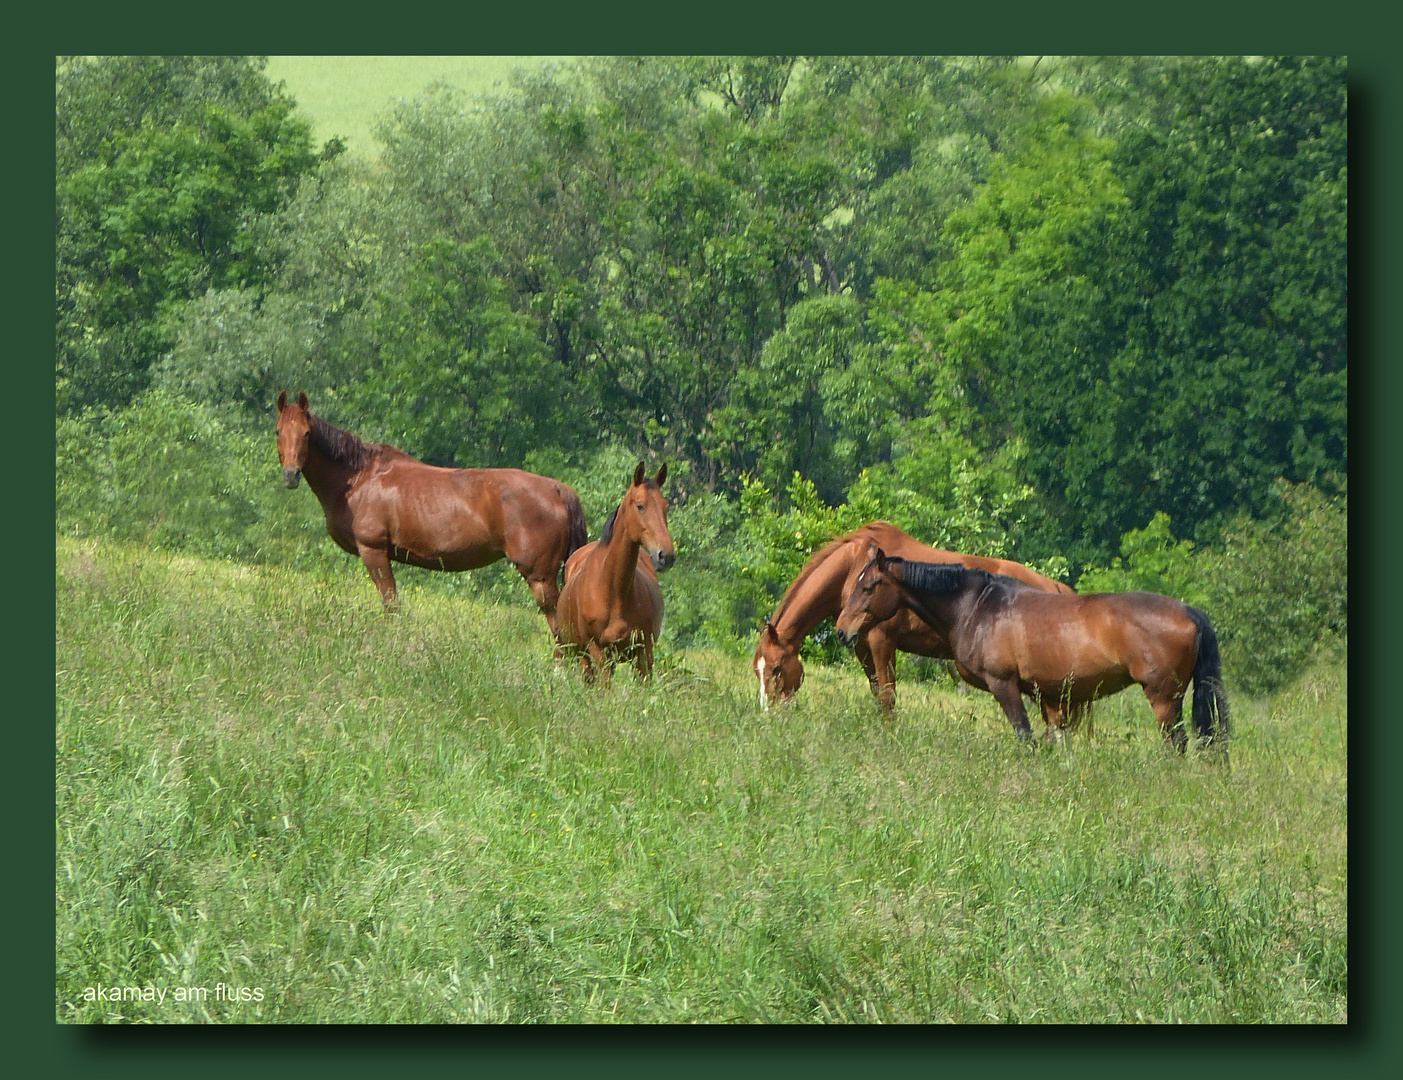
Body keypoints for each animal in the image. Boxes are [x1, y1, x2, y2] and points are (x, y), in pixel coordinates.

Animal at [273, 392, 586, 633]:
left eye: (307, 433)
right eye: (278, 431)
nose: (290, 475)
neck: (359, 477)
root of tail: (558, 489)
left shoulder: (374, 551)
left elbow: (391, 603)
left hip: (540, 578)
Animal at [552, 460, 673, 681]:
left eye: (665, 506)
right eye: (640, 506)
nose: (666, 556)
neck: (613, 592)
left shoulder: (644, 653)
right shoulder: (598, 653)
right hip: (585, 657)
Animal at [757, 521, 1071, 715]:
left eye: (776, 668)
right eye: (756, 670)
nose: (767, 711)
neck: (853, 566)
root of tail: (1055, 587)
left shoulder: (883, 641)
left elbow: (888, 696)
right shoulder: (862, 646)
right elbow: (878, 693)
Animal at [830, 547, 1229, 751]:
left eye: (869, 587)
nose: (842, 630)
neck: (978, 606)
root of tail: (1188, 611)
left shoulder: (1004, 685)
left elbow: (1025, 736)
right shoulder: (1049, 696)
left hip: (1163, 698)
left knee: (1177, 744)